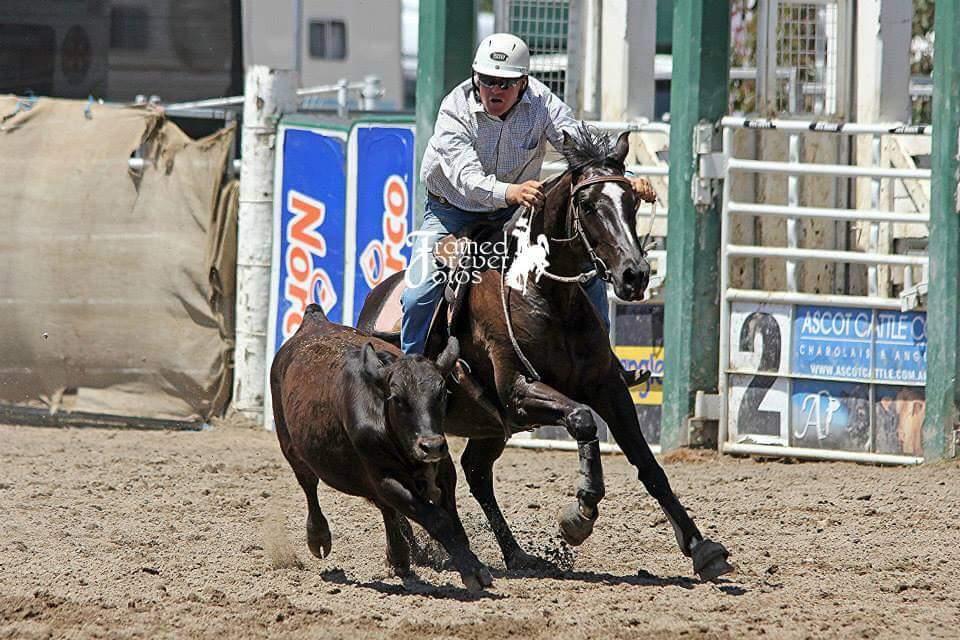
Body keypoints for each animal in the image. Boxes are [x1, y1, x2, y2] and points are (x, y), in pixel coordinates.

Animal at [270, 304, 493, 592]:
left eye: (442, 393)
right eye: (397, 399)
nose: (431, 446)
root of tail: (314, 320)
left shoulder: (443, 470)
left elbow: (451, 520)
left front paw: (472, 562)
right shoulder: (385, 478)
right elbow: (437, 519)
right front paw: (472, 570)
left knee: (385, 508)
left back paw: (399, 556)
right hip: (291, 447)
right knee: (309, 485)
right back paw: (318, 536)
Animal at [358, 126, 732, 581]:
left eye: (632, 201)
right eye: (588, 205)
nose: (635, 275)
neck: (544, 293)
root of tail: (372, 304)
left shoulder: (608, 389)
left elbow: (647, 464)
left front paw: (701, 547)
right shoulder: (519, 391)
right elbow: (582, 420)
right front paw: (580, 513)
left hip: (491, 427)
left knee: (476, 474)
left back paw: (515, 555)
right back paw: (413, 551)